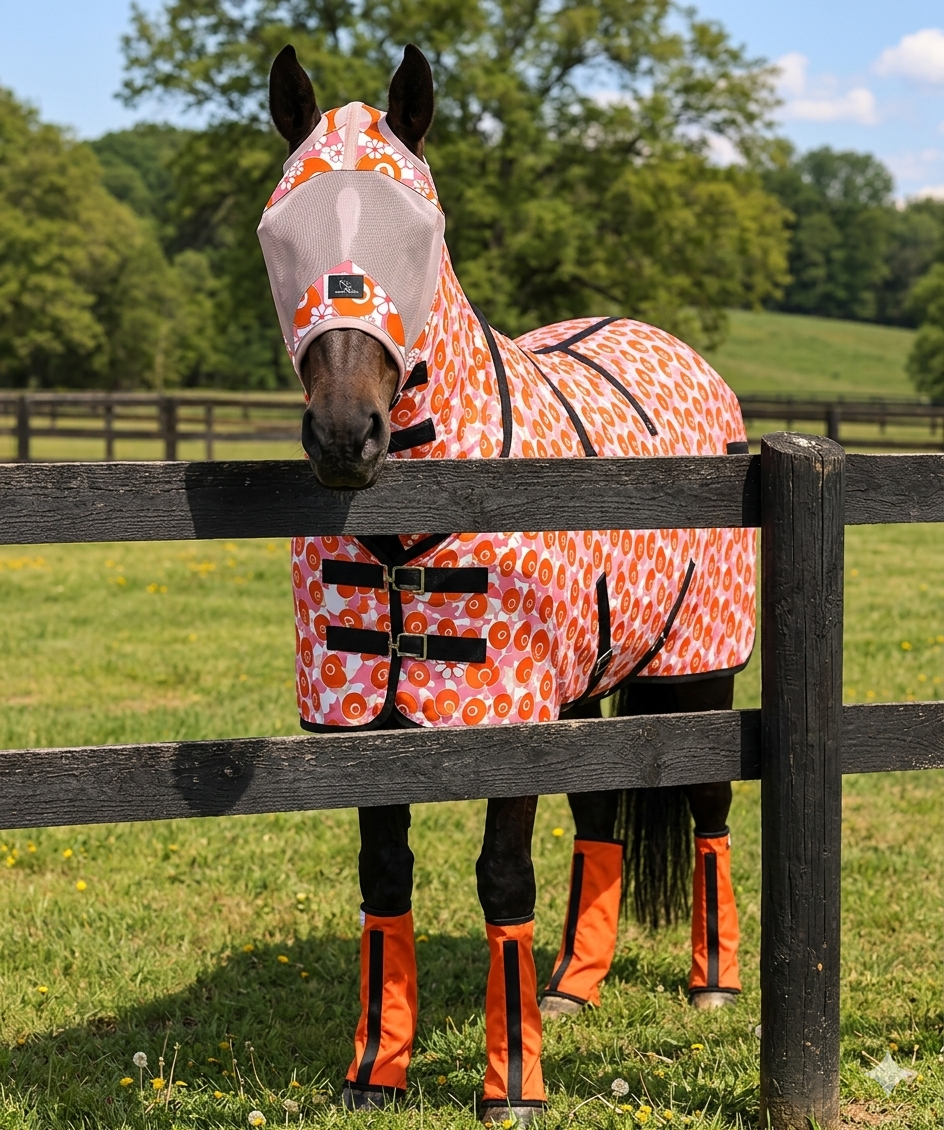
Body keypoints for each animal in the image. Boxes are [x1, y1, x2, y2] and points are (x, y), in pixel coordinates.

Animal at [258, 43, 756, 1125]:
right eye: (279, 230)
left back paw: (711, 980)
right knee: (601, 816)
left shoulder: (509, 718)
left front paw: (512, 1086)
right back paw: (574, 983)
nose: (345, 435)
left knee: (707, 802)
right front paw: (377, 1067)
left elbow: (500, 879)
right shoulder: (365, 725)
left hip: (698, 670)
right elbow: (384, 876)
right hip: (585, 689)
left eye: (422, 231)